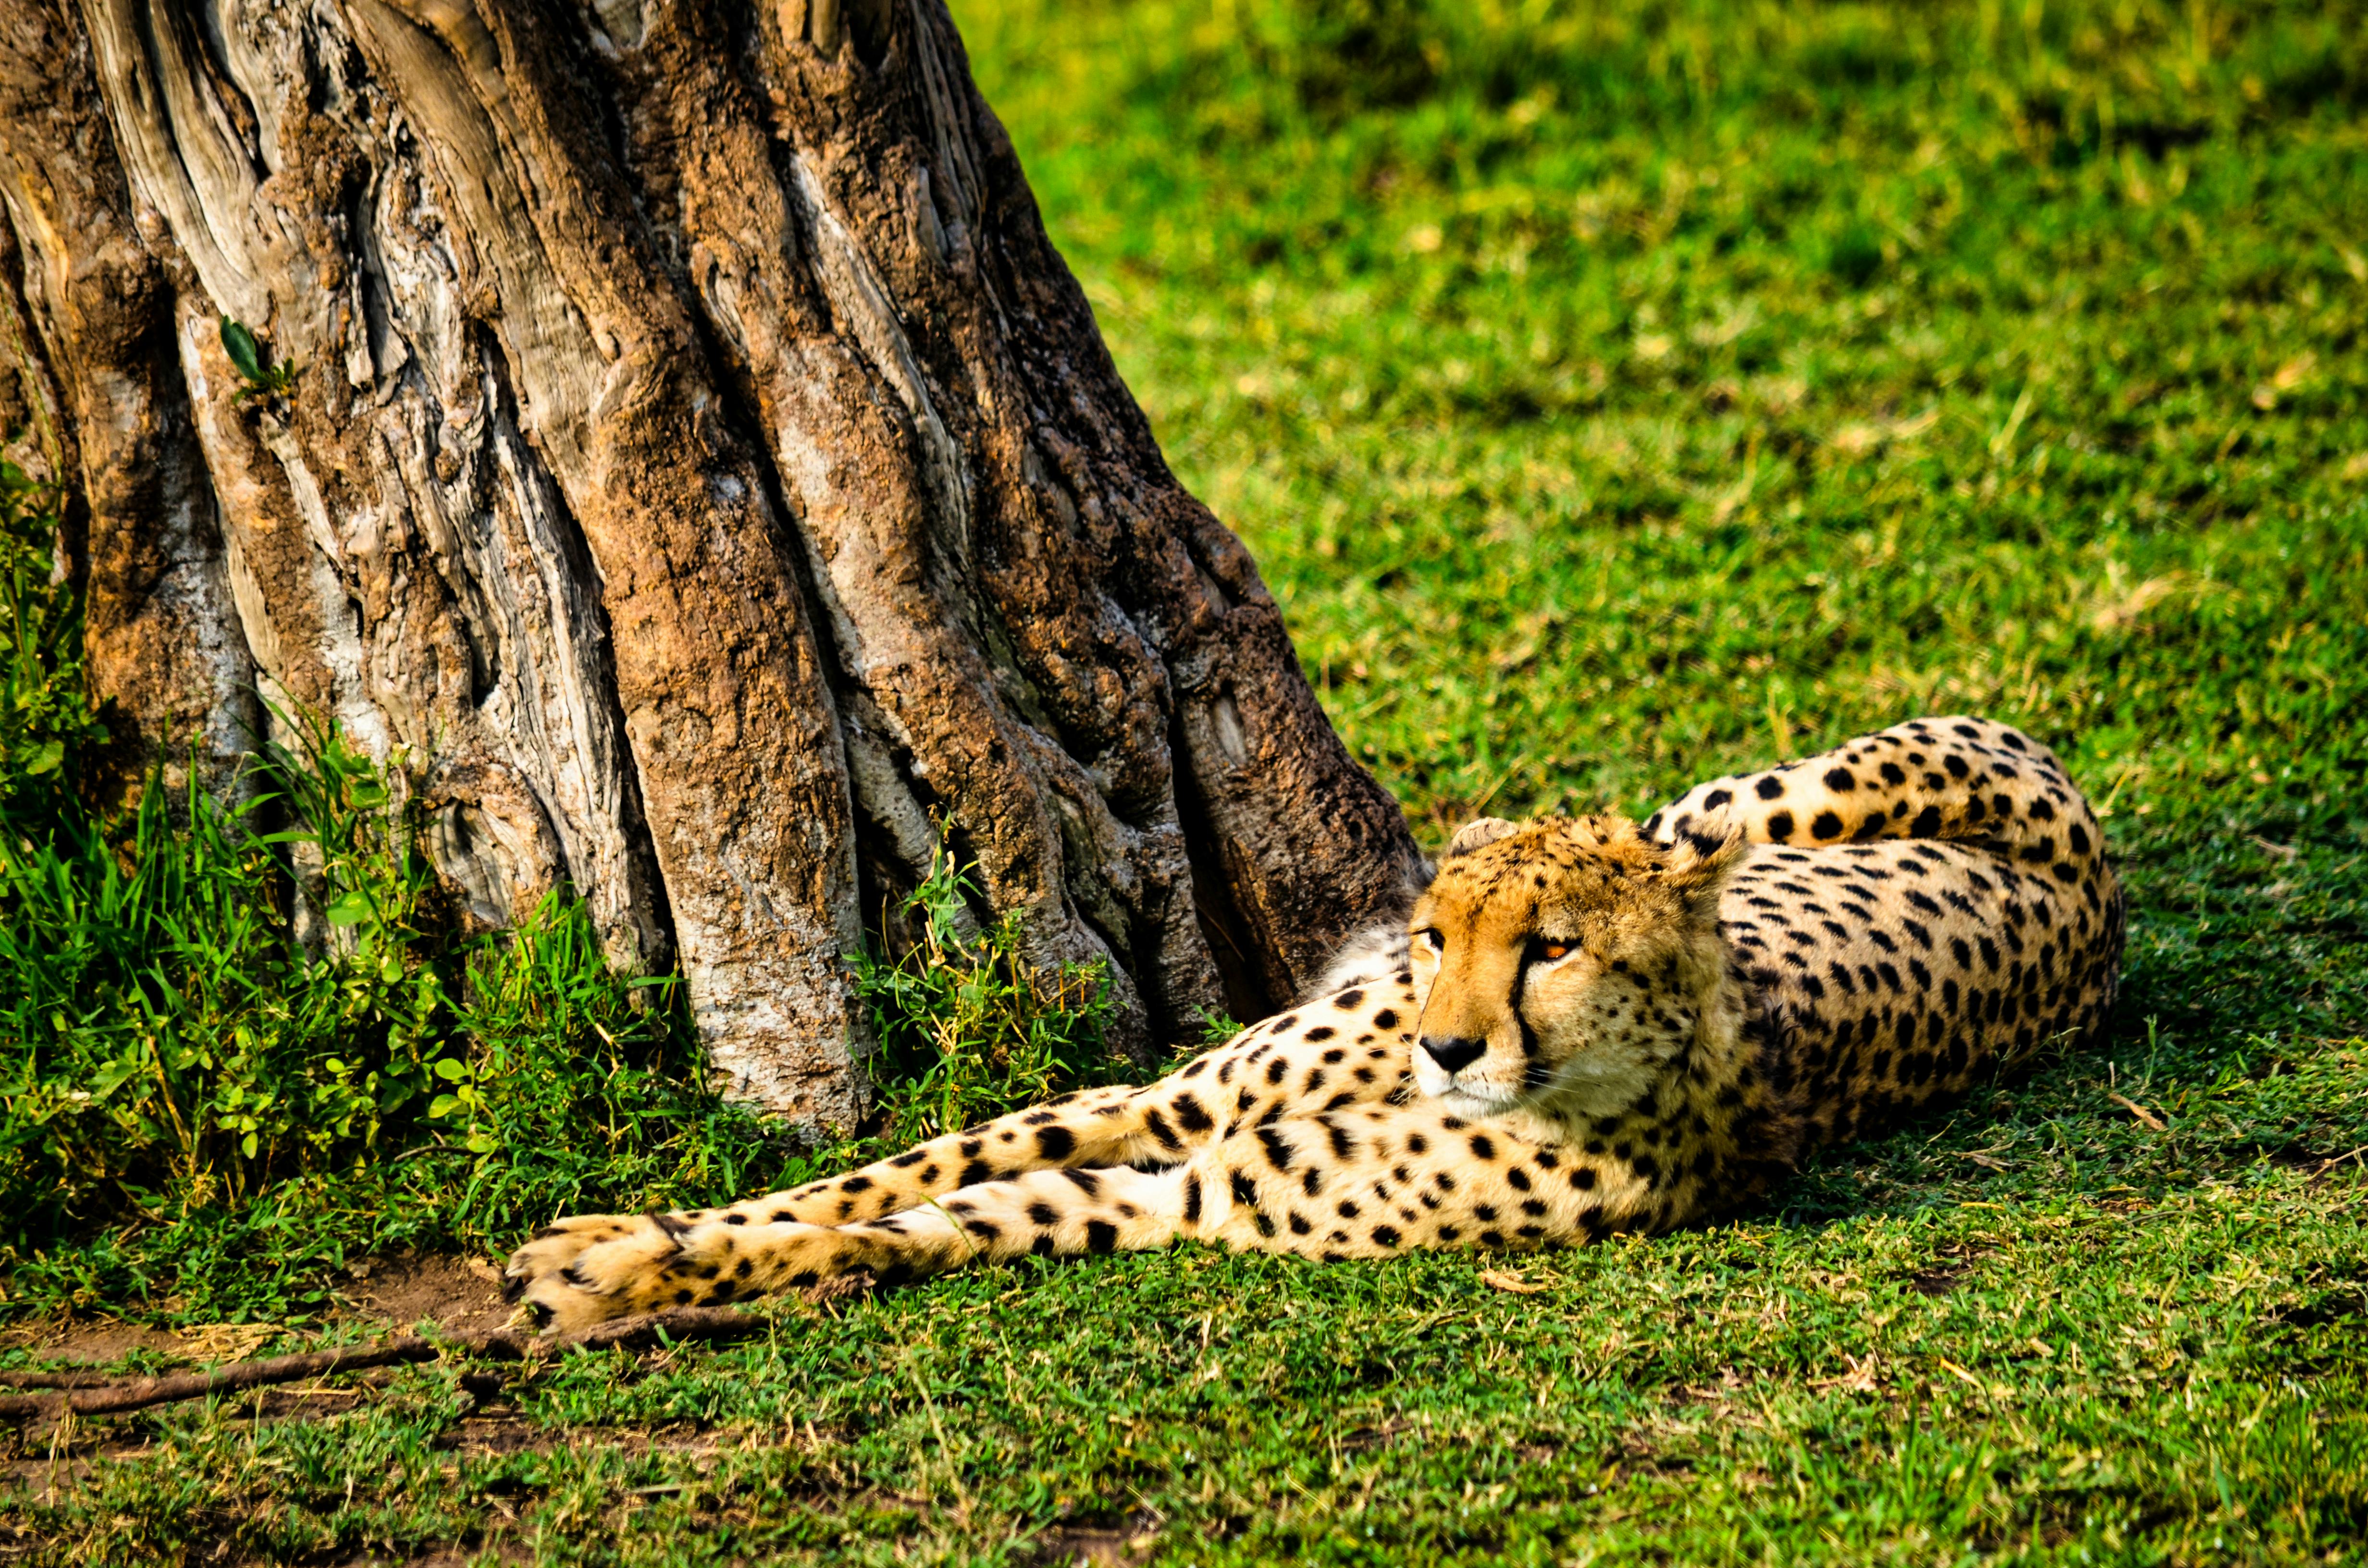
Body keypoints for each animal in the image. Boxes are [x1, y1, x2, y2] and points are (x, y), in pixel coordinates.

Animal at [504, 715, 2124, 1332]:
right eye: (1441, 935)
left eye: (1552, 948)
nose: (1446, 1043)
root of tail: (2102, 909)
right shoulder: (1162, 1105)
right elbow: (894, 1171)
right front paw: (612, 1240)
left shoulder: (1190, 1188)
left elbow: (947, 1219)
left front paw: (609, 1279)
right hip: (1739, 802)